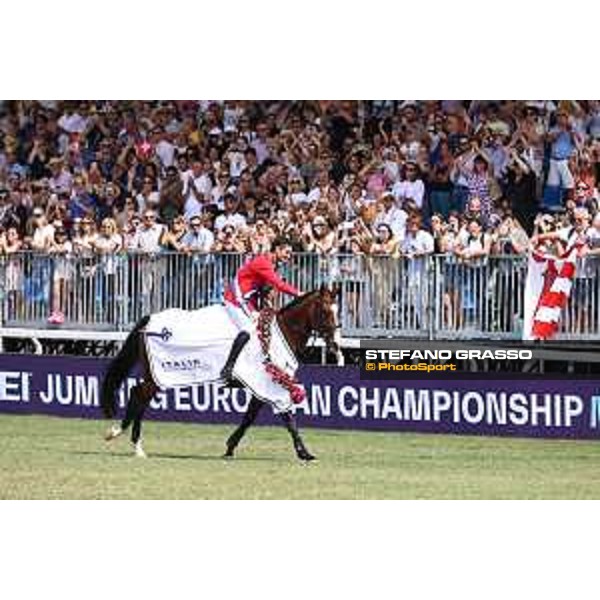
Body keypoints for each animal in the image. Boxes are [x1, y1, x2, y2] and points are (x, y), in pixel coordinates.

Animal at [98, 284, 342, 462]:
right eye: (325, 311)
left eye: (338, 311)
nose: (335, 345)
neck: (279, 332)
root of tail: (150, 320)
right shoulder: (270, 383)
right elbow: (288, 418)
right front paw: (304, 452)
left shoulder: (263, 386)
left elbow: (249, 418)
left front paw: (230, 447)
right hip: (158, 375)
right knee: (138, 396)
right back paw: (125, 438)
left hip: (156, 377)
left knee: (139, 396)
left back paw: (132, 443)